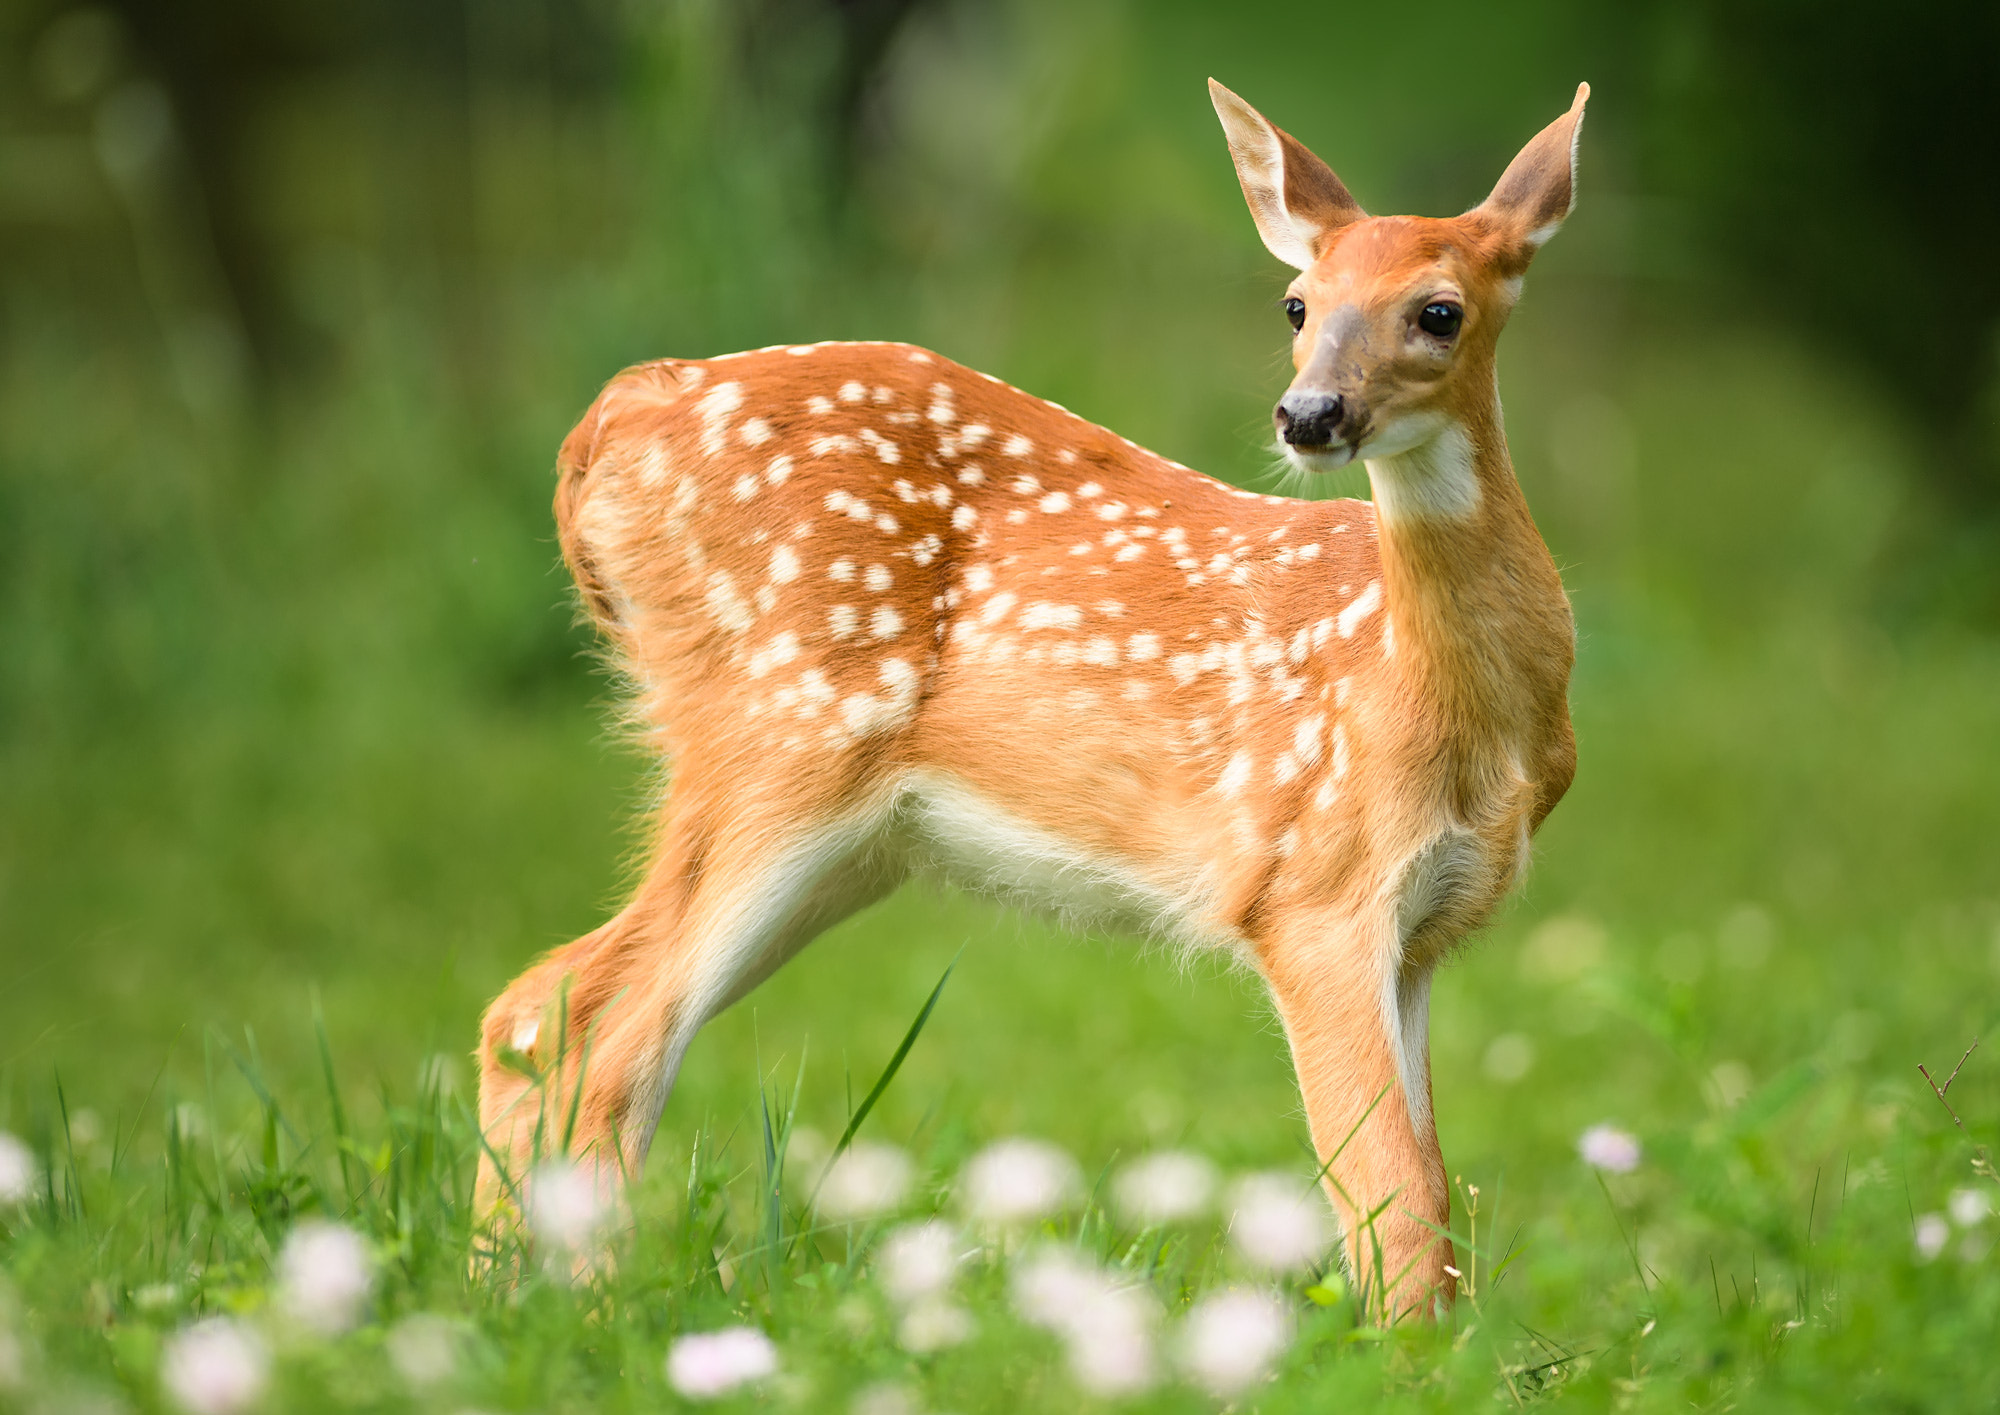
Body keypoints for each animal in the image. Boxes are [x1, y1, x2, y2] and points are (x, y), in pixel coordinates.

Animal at [476, 78, 1586, 1319]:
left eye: (1438, 311)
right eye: (1297, 303)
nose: (1309, 415)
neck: (1439, 704)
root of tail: (612, 418)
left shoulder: (1425, 929)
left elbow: (1432, 1191)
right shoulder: (1311, 887)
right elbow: (1391, 1194)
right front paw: (1408, 1352)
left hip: (853, 838)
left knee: (546, 1015)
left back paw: (497, 1297)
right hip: (781, 733)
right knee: (594, 1031)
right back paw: (579, 1309)